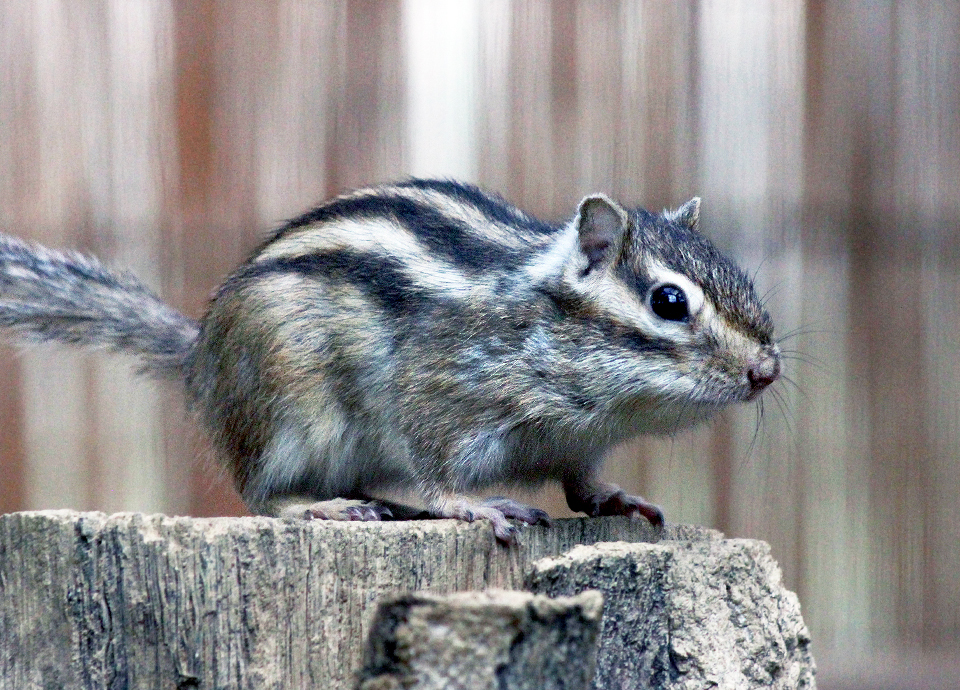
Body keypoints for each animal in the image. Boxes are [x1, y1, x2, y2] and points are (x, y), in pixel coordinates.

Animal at [0, 179, 780, 542]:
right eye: (670, 302)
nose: (766, 371)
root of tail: (200, 360)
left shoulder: (578, 442)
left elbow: (583, 486)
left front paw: (618, 499)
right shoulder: (436, 397)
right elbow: (436, 467)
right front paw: (472, 506)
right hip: (289, 411)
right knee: (260, 495)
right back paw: (328, 506)